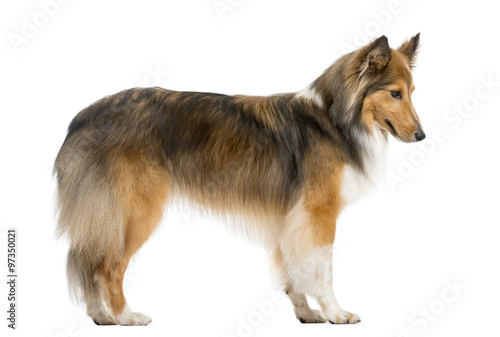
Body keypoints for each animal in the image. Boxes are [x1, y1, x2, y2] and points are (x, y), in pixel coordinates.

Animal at [53, 33, 422, 322]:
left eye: (412, 91)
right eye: (395, 93)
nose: (422, 136)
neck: (335, 119)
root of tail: (84, 117)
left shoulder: (289, 218)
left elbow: (293, 269)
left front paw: (306, 313)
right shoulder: (319, 213)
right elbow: (323, 269)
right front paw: (336, 313)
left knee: (88, 261)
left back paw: (100, 316)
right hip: (135, 211)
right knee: (108, 267)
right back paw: (125, 317)